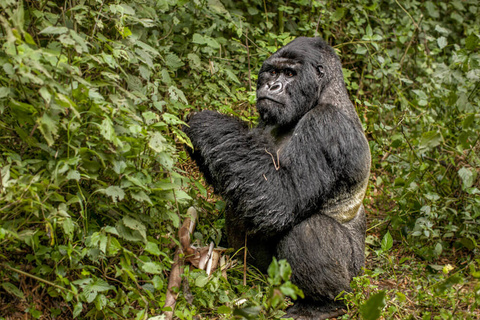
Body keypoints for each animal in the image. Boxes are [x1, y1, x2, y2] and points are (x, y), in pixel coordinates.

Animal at [184, 38, 372, 320]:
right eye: (273, 72)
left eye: (290, 74)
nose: (272, 86)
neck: (323, 94)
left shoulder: (327, 124)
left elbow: (281, 198)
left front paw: (206, 124)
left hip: (355, 274)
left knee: (308, 230)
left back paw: (323, 305)